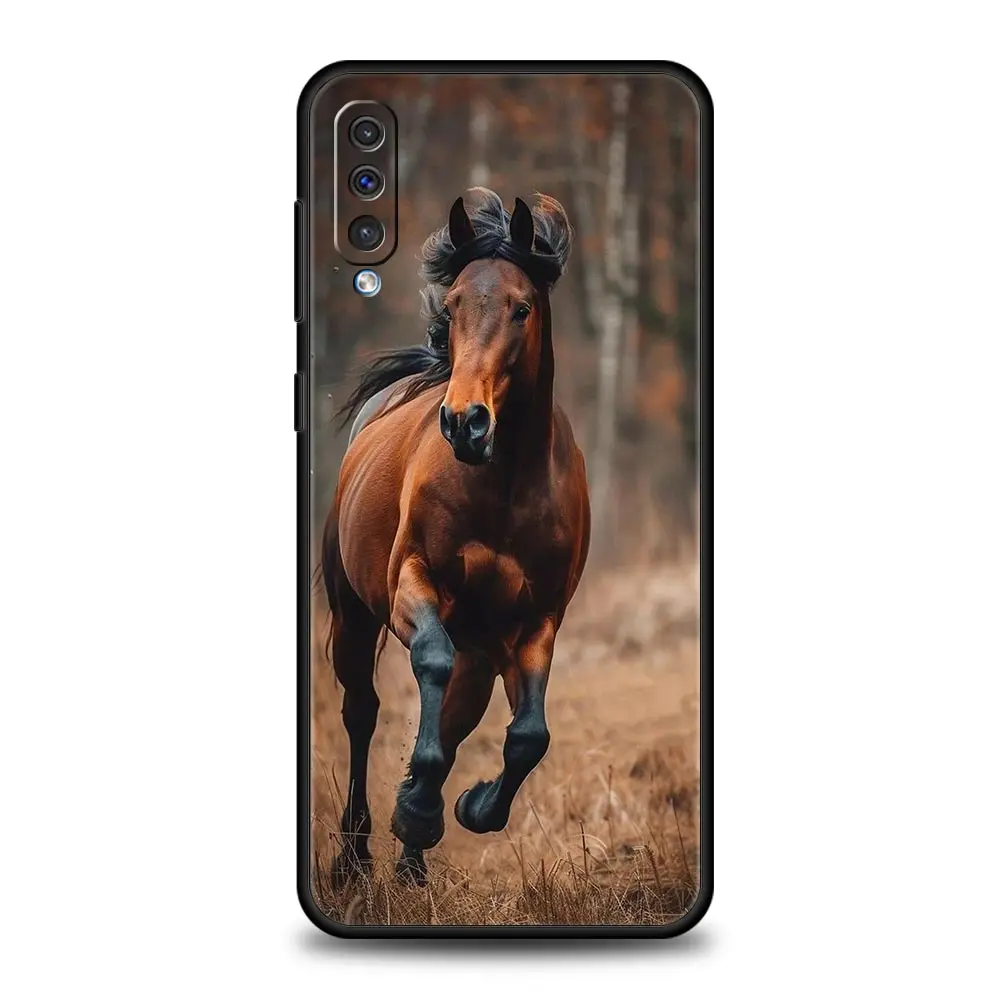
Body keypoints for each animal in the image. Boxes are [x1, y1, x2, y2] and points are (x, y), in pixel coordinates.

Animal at [321, 188, 590, 885]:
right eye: (454, 305)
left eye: (522, 308)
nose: (465, 423)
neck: (504, 484)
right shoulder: (412, 585)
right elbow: (430, 662)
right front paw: (417, 810)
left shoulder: (536, 621)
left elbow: (528, 736)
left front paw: (464, 808)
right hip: (353, 615)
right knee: (362, 711)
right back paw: (355, 854)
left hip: (482, 650)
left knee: (452, 718)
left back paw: (412, 861)